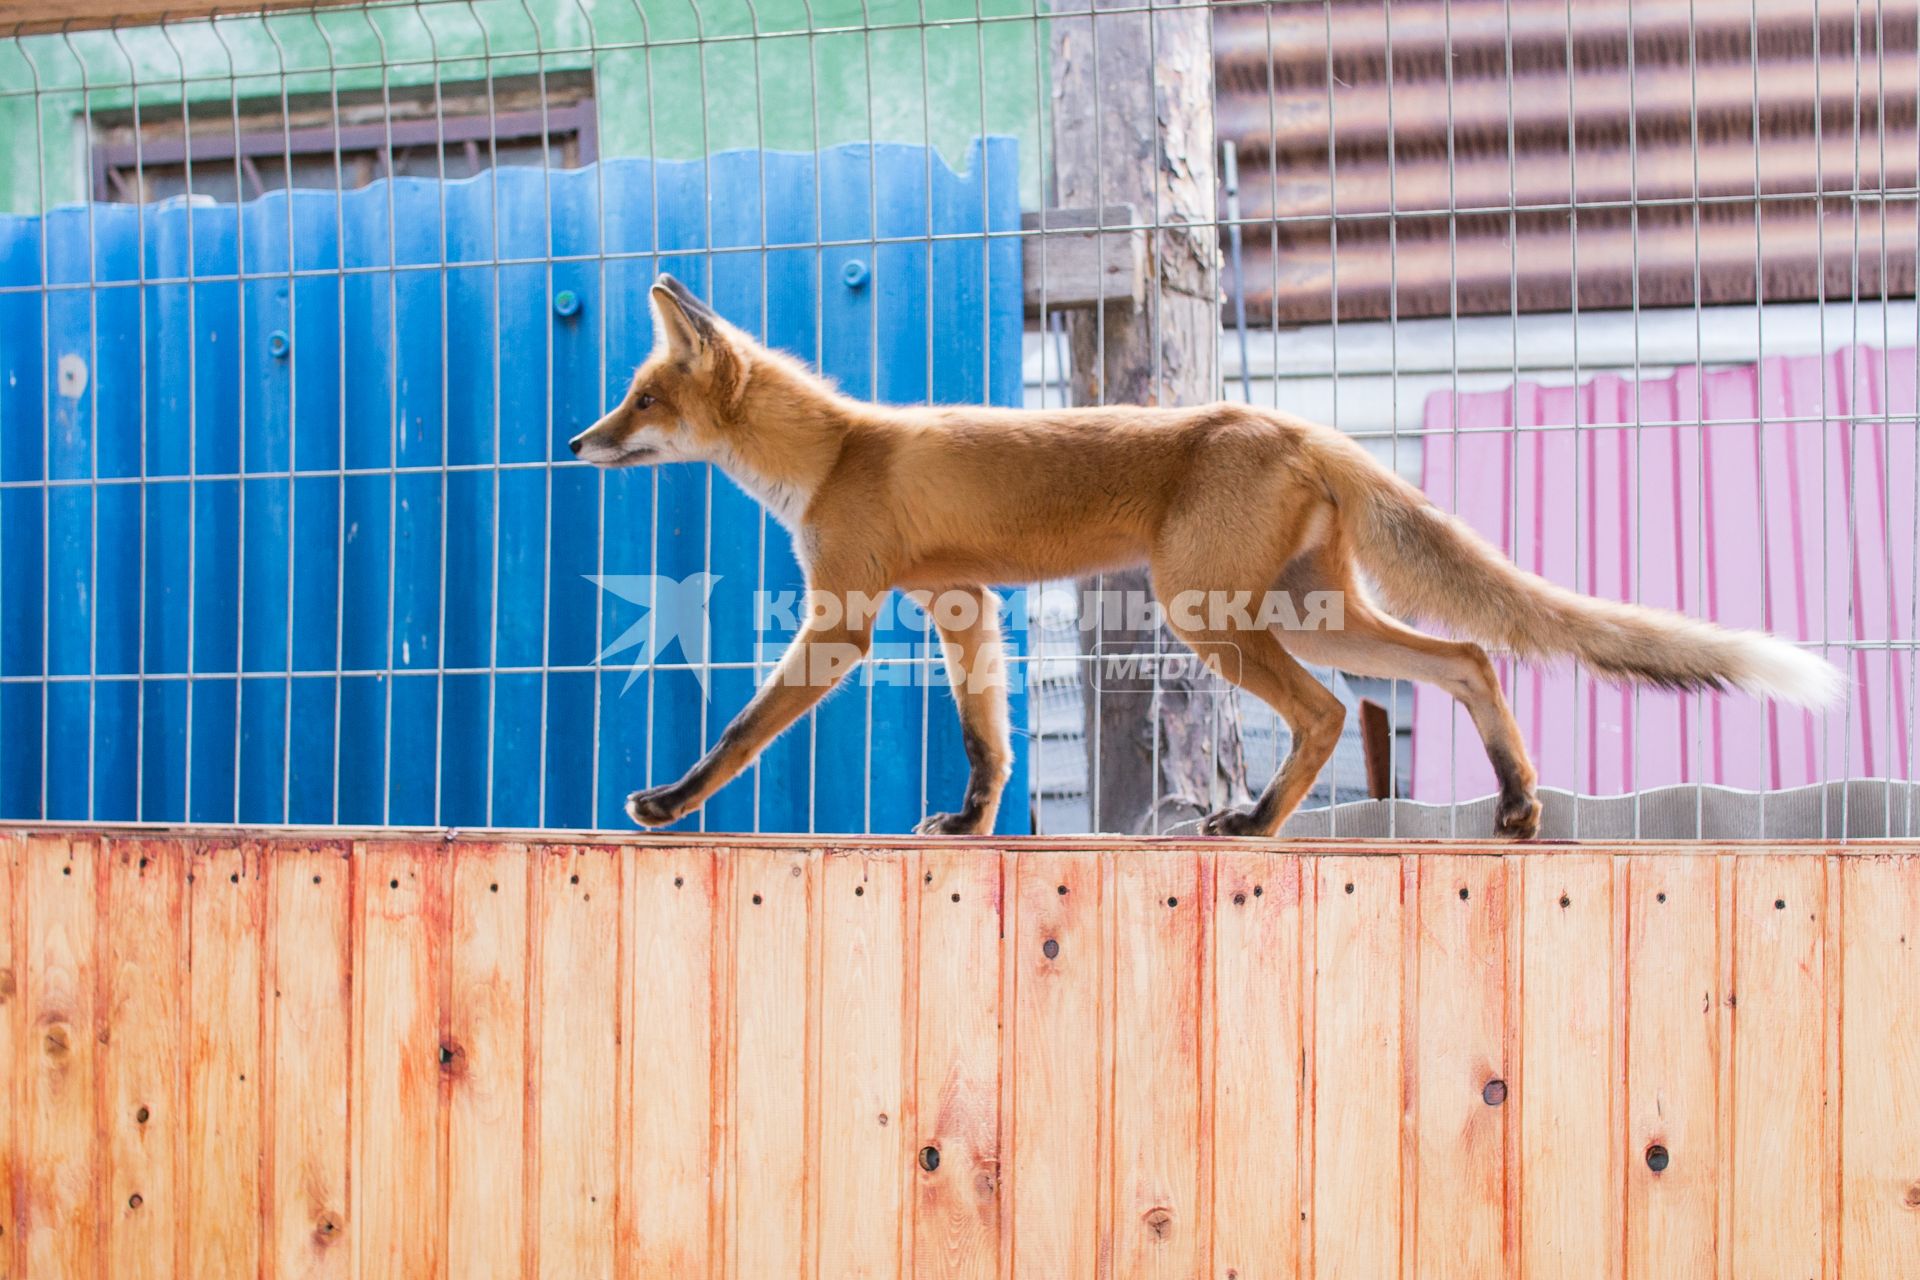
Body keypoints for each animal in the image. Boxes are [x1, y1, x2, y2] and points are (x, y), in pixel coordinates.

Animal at [568, 276, 1843, 840]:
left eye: (639, 399)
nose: (577, 442)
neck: (837, 452)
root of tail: (1295, 424)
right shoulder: (963, 603)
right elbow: (989, 741)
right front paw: (972, 827)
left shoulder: (844, 617)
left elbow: (741, 729)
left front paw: (667, 801)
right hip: (1313, 611)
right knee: (1469, 655)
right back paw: (1518, 803)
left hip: (1208, 613)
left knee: (1329, 711)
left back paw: (1258, 824)